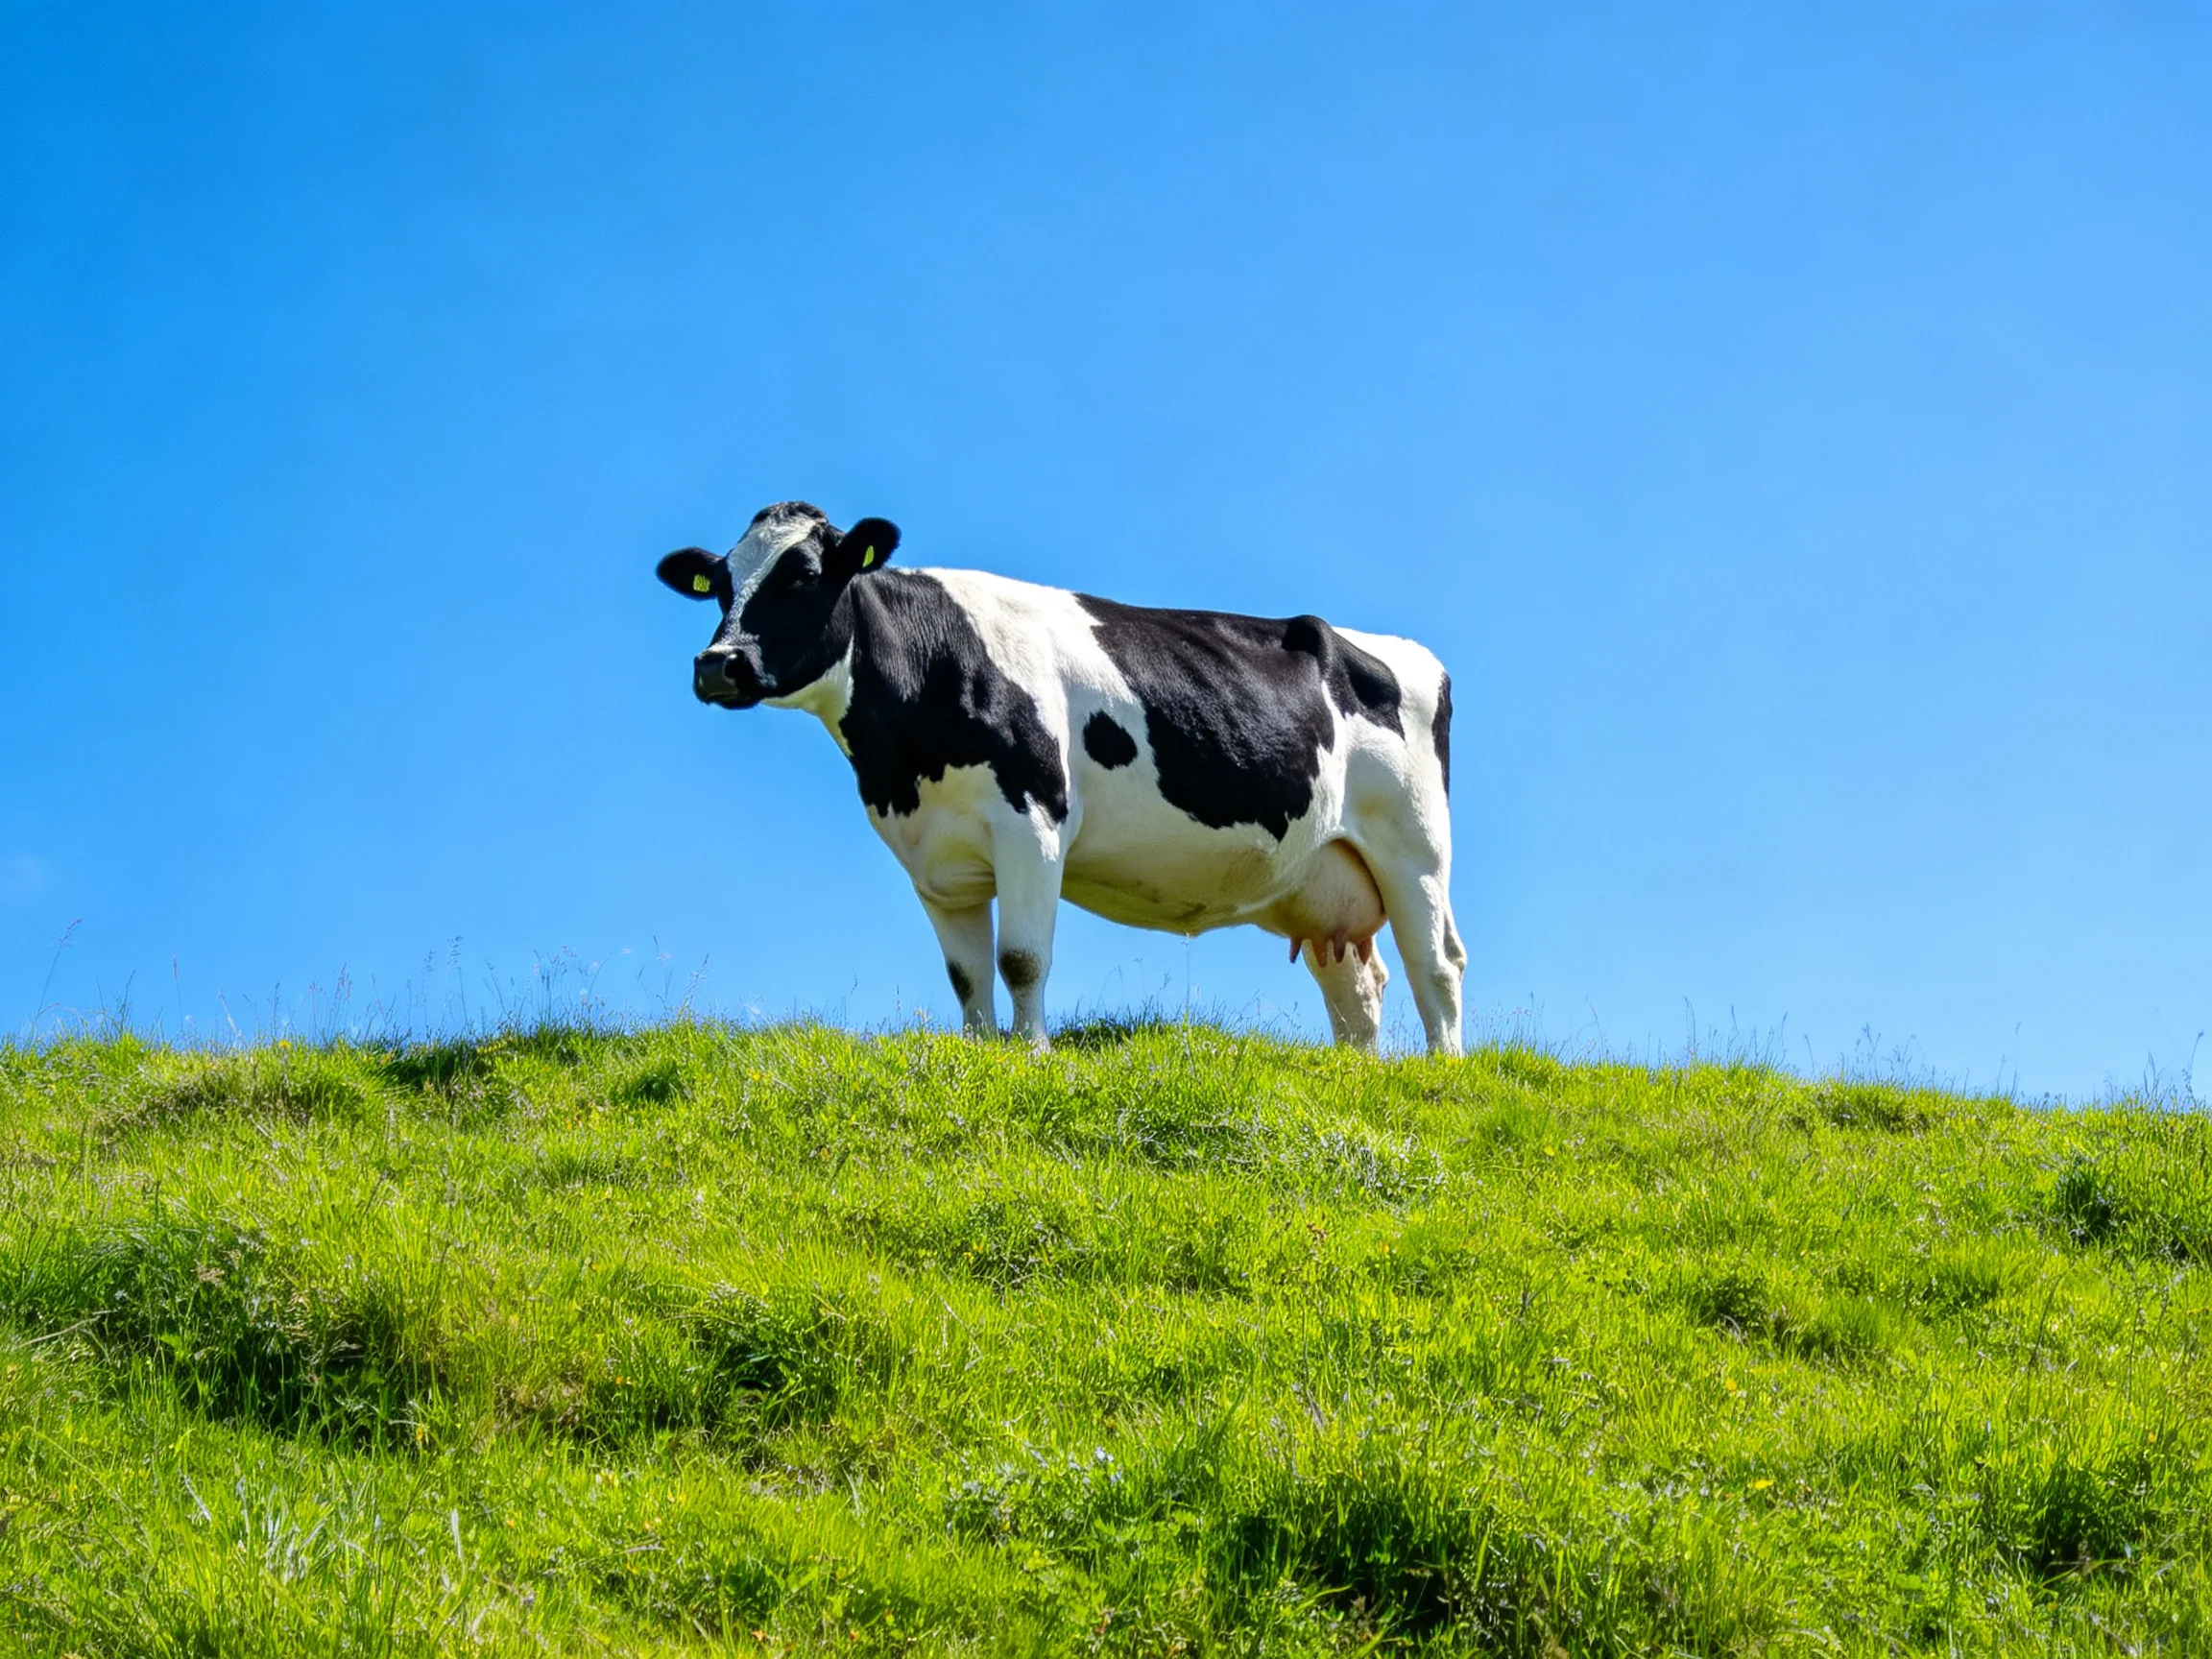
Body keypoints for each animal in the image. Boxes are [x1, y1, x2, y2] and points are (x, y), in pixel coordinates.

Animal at [656, 502, 1466, 1054]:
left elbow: (1020, 959)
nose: (717, 664)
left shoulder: (1032, 822)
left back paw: (1440, 1071)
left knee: (1436, 965)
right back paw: (1360, 1072)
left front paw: (1033, 1053)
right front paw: (980, 1051)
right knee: (1357, 983)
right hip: (1324, 875)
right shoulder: (935, 861)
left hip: (1415, 849)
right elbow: (967, 975)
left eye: (803, 576)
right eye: (719, 583)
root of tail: (1401, 650)